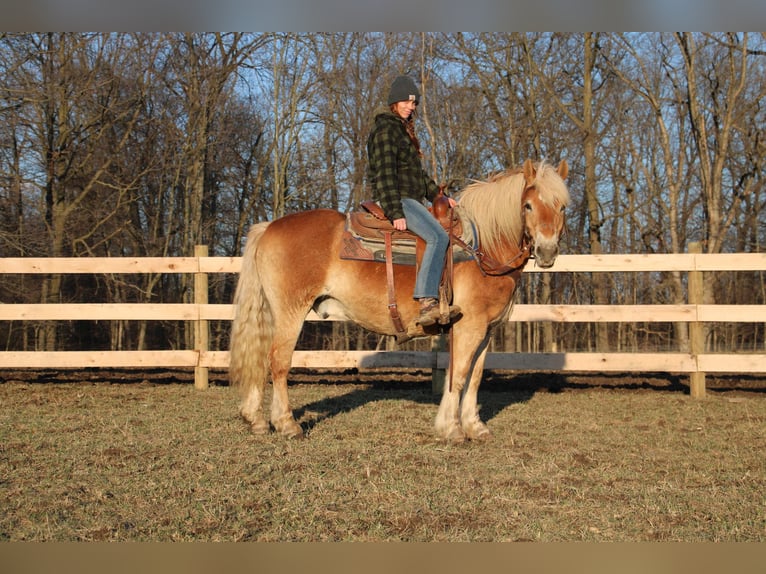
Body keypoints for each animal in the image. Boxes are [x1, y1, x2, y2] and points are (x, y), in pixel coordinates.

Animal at [228, 160, 568, 444]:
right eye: (527, 205)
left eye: (563, 207)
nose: (547, 251)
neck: (482, 246)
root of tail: (269, 226)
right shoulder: (469, 327)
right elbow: (458, 376)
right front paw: (452, 429)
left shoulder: (486, 331)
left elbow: (475, 377)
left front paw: (475, 427)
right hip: (291, 312)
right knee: (278, 362)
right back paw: (287, 424)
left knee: (259, 357)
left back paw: (255, 419)